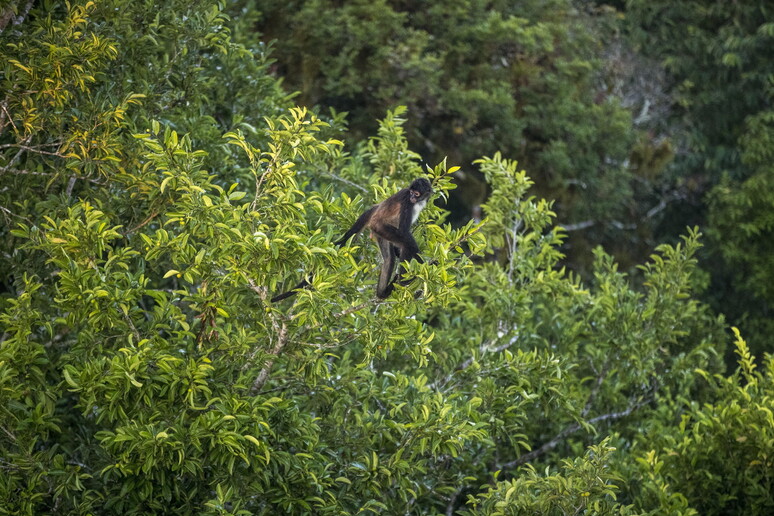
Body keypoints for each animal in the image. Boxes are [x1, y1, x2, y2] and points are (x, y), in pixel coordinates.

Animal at [272, 177, 430, 302]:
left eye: (416, 194)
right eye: (411, 193)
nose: (412, 197)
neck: (416, 202)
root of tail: (374, 211)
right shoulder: (407, 203)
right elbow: (404, 233)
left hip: (379, 231)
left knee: (389, 258)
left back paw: (383, 292)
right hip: (381, 226)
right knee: (406, 244)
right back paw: (401, 283)